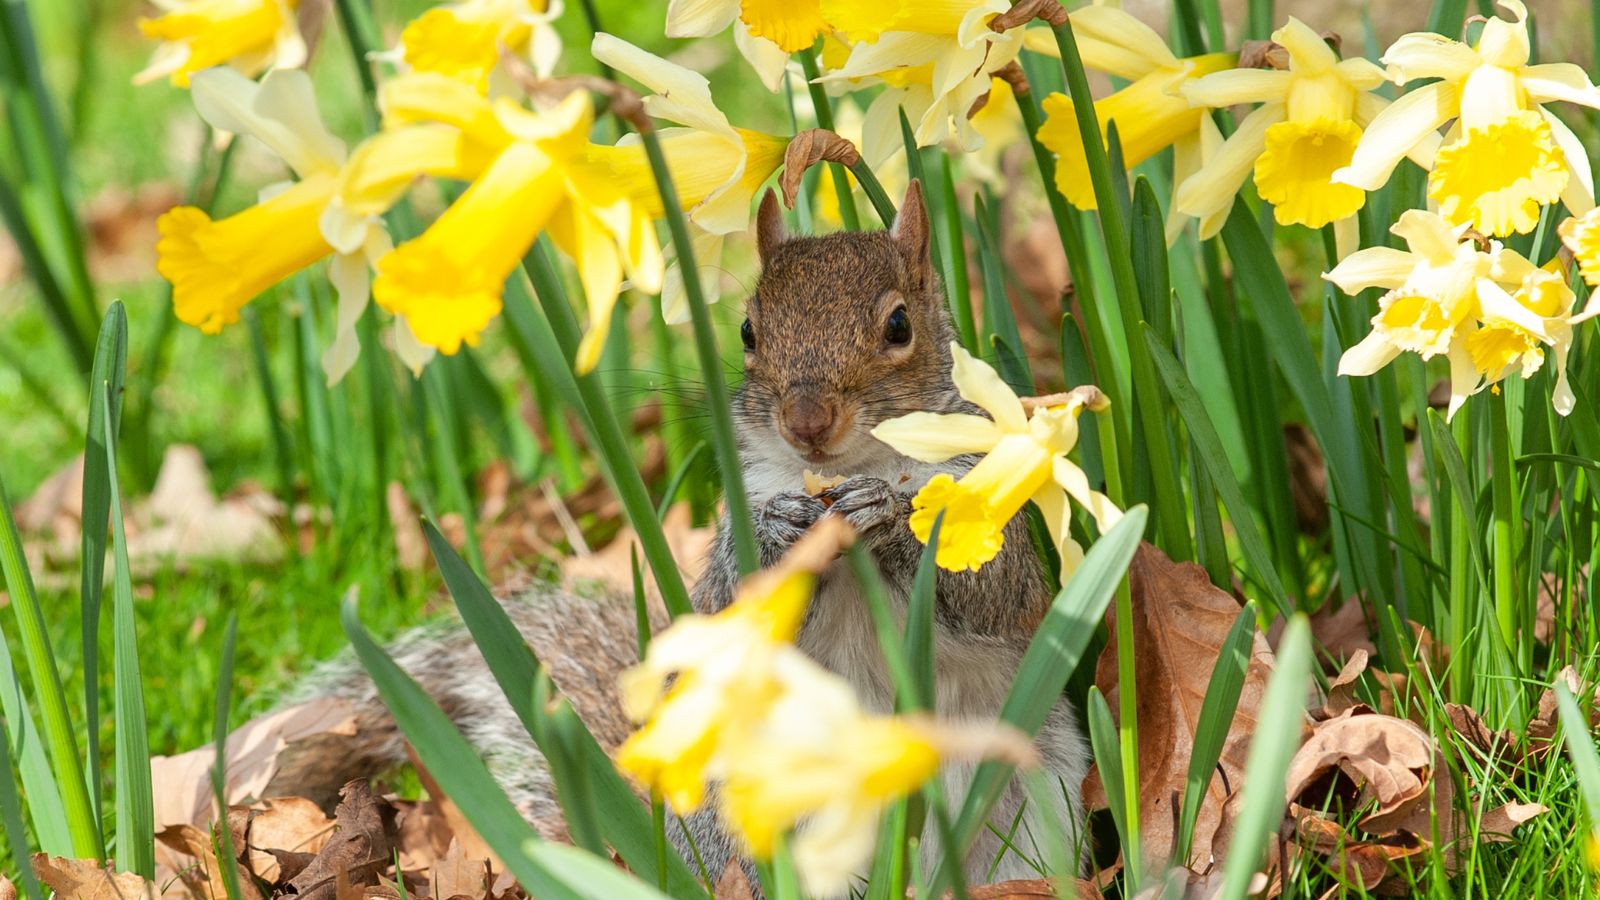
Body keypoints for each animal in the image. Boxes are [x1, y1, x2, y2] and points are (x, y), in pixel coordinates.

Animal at [271, 180, 1090, 888]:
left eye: (899, 326)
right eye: (749, 330)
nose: (807, 420)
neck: (849, 468)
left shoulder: (990, 503)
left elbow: (988, 593)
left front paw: (888, 518)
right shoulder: (741, 501)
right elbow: (730, 604)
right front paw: (778, 535)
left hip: (1040, 796)